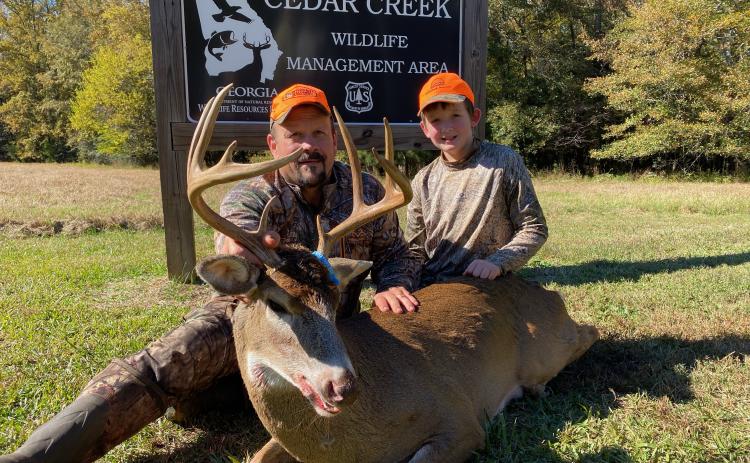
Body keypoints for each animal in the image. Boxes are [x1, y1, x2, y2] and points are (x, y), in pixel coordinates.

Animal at [186, 85, 600, 463]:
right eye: (275, 304)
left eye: (333, 303)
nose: (343, 387)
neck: (344, 449)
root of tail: (548, 293)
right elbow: (255, 457)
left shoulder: (460, 419)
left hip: (545, 350)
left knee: (588, 333)